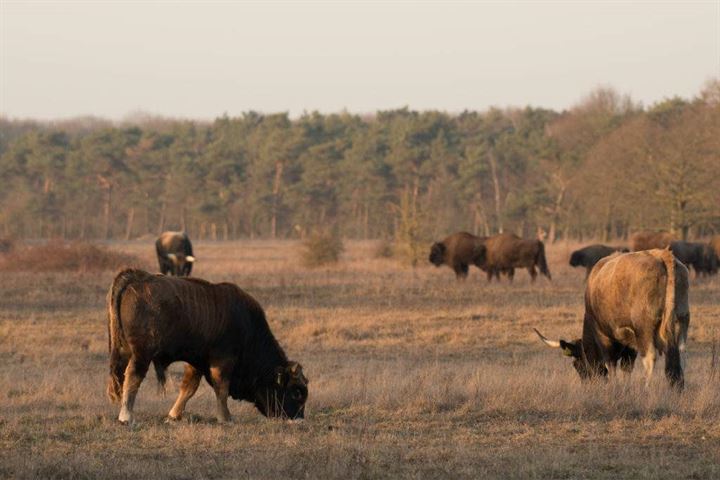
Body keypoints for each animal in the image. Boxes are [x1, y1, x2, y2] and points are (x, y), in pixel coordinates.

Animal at [106, 268, 306, 426]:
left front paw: (173, 416)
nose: (298, 419)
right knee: (133, 377)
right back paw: (126, 417)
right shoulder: (223, 360)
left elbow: (189, 388)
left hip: (124, 351)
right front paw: (226, 418)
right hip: (142, 354)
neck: (247, 327)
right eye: (296, 392)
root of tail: (136, 278)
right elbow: (221, 388)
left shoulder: (196, 362)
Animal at [536, 248, 688, 390]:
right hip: (681, 322)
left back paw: (647, 388)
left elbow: (611, 364)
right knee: (678, 355)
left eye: (577, 365)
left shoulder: (604, 336)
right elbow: (626, 368)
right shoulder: (630, 345)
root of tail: (662, 255)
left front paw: (614, 386)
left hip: (644, 328)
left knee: (650, 357)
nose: (588, 385)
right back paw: (677, 387)